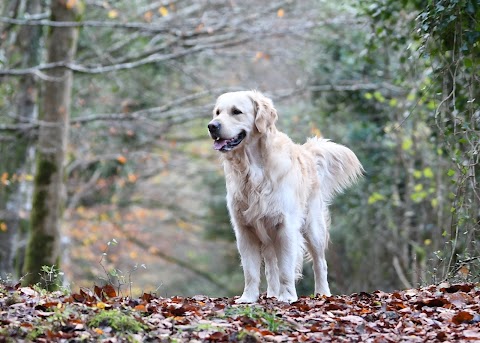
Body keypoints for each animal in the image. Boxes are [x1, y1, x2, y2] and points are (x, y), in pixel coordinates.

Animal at [208, 91, 362, 304]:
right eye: (217, 112)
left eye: (236, 111)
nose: (212, 126)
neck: (253, 169)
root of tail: (307, 153)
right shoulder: (244, 229)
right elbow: (251, 271)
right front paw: (248, 298)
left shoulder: (286, 226)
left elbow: (286, 269)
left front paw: (288, 296)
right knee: (271, 267)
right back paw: (272, 293)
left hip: (313, 227)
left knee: (320, 263)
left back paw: (322, 293)